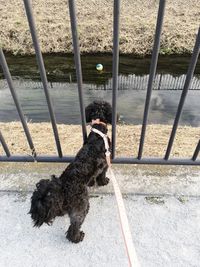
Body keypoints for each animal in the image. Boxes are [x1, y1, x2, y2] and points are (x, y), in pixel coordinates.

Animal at [28, 101, 112, 244]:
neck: (98, 132)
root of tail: (62, 185)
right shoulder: (105, 163)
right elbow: (102, 175)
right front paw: (104, 182)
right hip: (81, 205)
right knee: (74, 226)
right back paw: (77, 237)